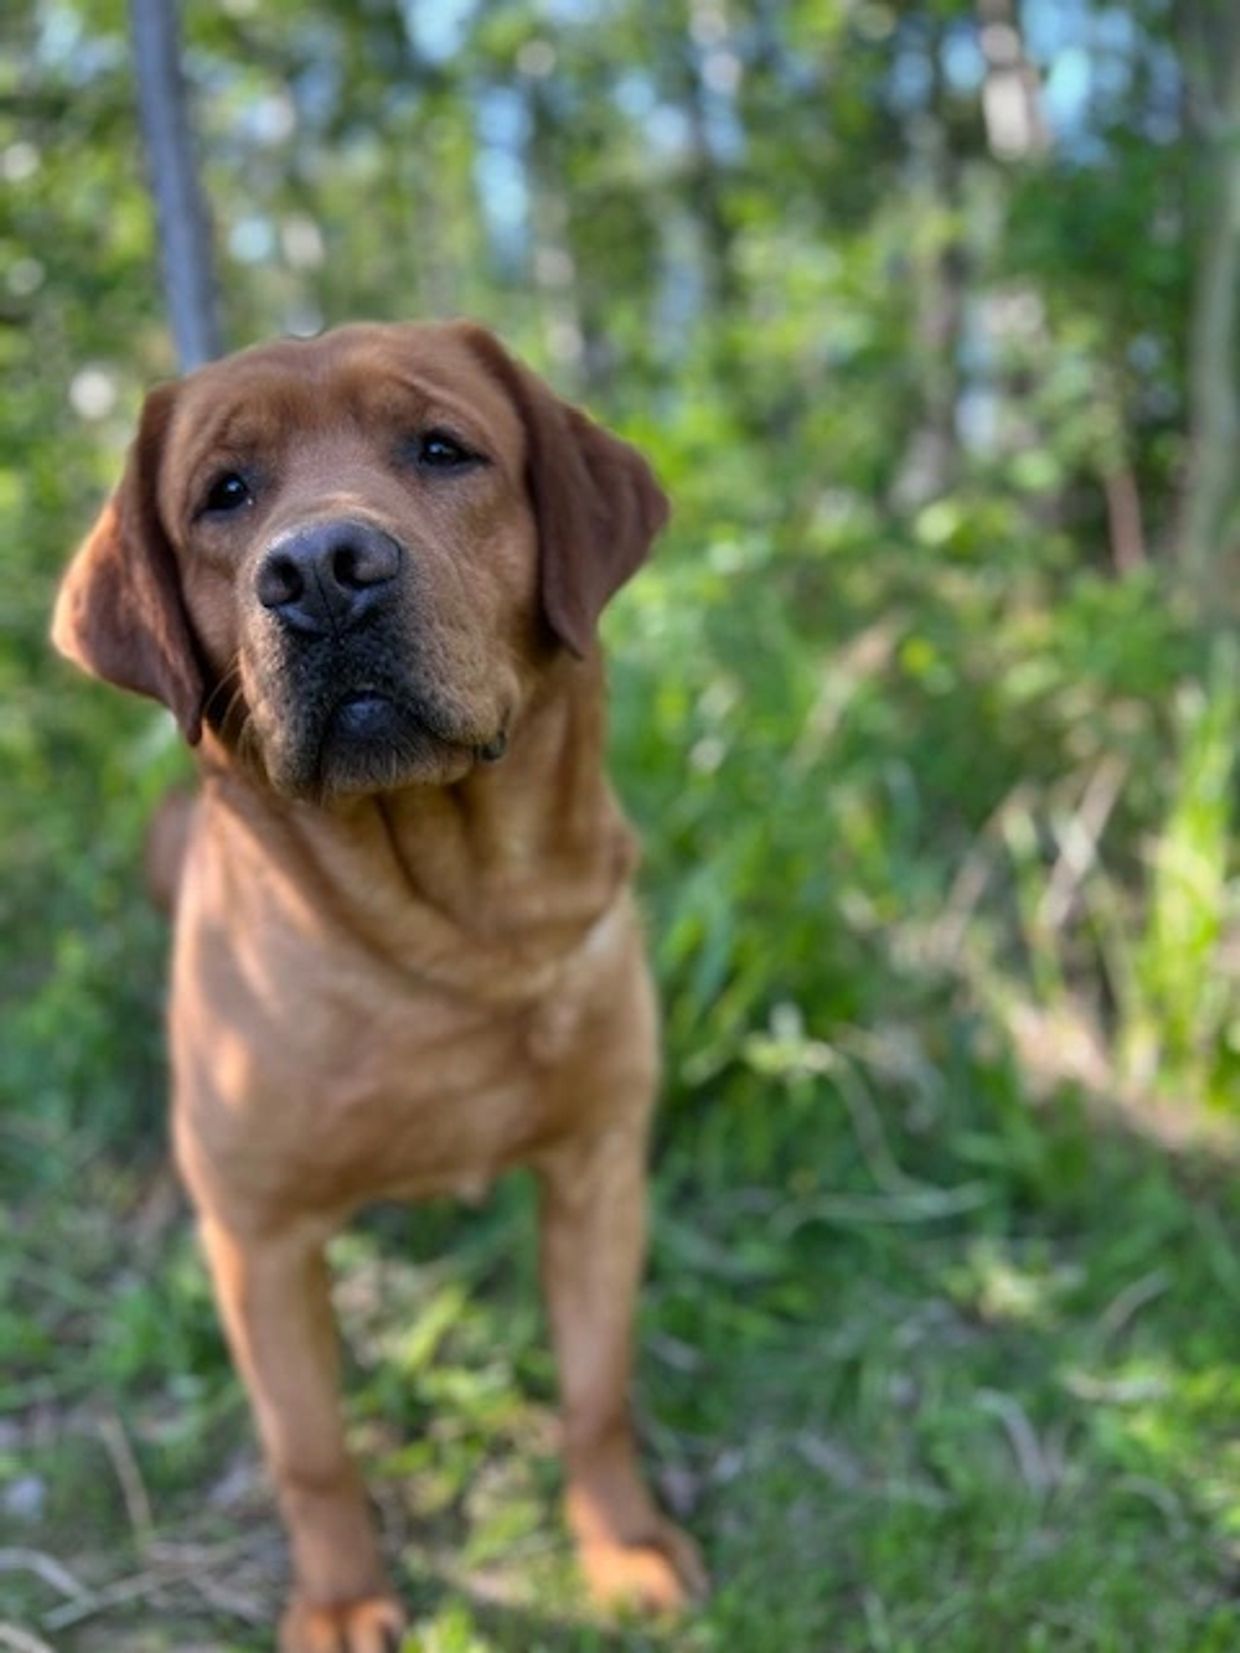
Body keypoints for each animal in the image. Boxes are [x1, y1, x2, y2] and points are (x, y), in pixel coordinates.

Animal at [53, 322, 707, 1653]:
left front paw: (620, 1549)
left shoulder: (599, 1167)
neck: (441, 934)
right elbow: (311, 1451)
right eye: (225, 494)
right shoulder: (260, 1240)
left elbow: (594, 1387)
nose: (319, 570)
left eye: (442, 449)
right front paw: (343, 1601)